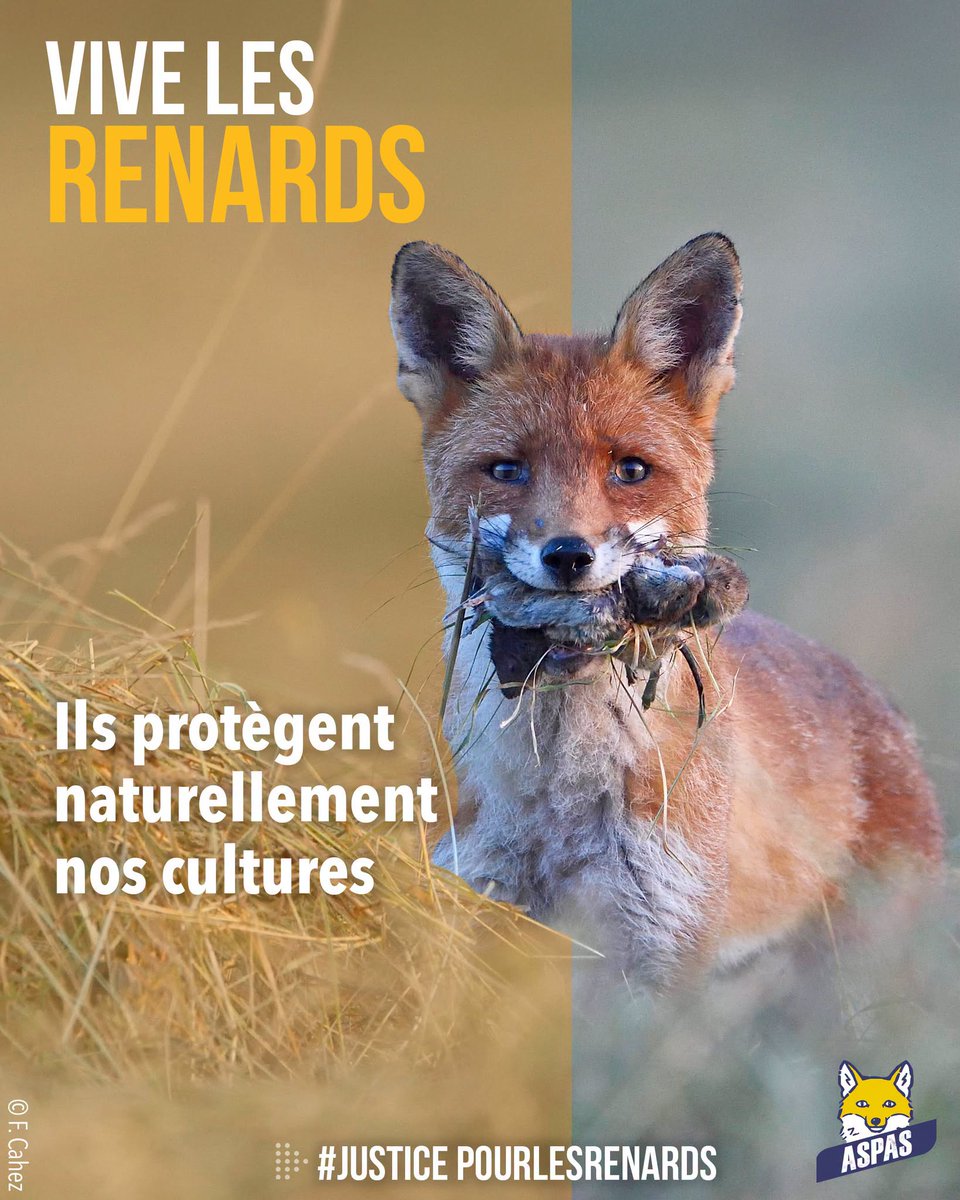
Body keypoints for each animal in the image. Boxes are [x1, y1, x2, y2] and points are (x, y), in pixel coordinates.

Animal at [388, 234, 943, 984]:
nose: (569, 555)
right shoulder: (475, 907)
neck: (558, 800)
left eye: (630, 470)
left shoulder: (659, 943)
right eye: (506, 471)